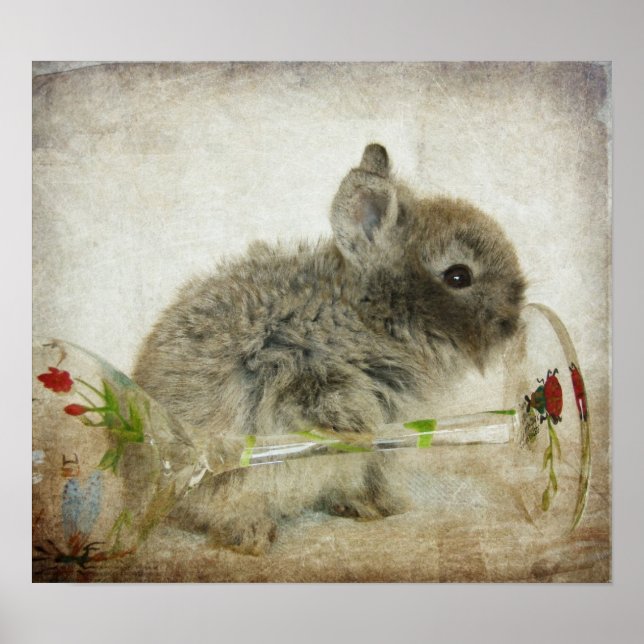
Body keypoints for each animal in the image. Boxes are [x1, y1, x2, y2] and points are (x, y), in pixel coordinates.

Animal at [132, 143, 526, 555]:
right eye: (458, 276)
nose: (512, 323)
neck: (370, 315)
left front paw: (380, 505)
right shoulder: (300, 371)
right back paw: (252, 533)